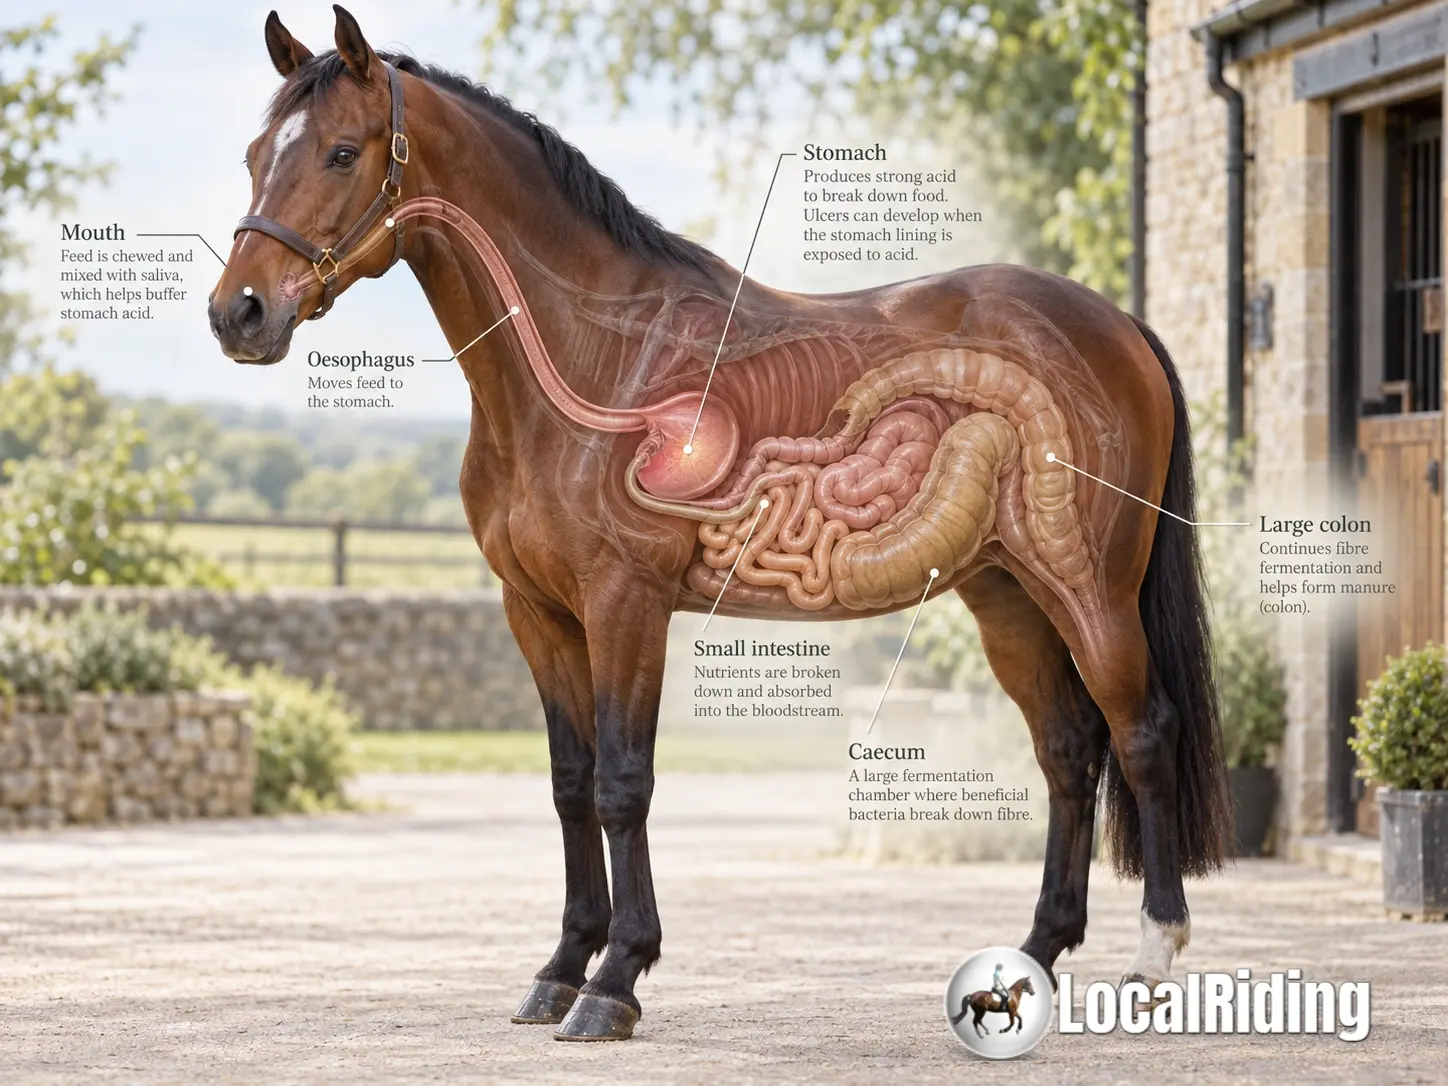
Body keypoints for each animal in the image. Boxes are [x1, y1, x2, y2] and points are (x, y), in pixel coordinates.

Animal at [209, 7, 1232, 1042]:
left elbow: (624, 783)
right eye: (255, 153)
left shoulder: (626, 603)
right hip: (1007, 596)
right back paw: (1030, 962)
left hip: (1086, 587)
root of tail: (1121, 326)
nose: (237, 314)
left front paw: (616, 980)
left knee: (1141, 732)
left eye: (342, 152)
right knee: (1068, 750)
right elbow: (570, 784)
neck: (597, 358)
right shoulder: (537, 612)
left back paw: (1153, 958)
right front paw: (561, 970)